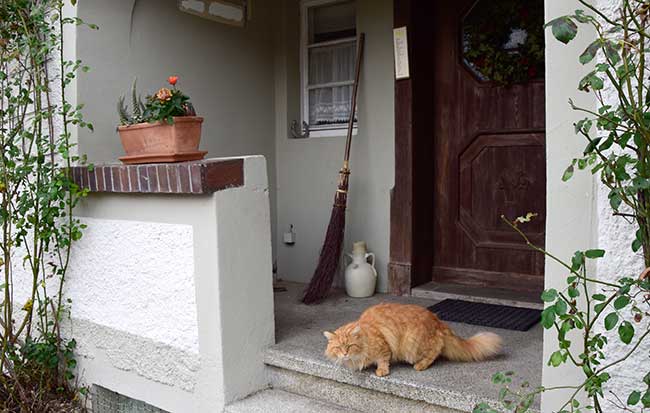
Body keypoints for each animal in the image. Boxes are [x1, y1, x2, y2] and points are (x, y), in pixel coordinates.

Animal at [324, 300, 502, 374]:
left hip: (413, 345)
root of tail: (438, 321)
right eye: (338, 348)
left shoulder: (384, 347)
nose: (345, 354)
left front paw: (381, 371)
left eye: (350, 346)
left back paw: (420, 365)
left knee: (436, 350)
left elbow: (383, 361)